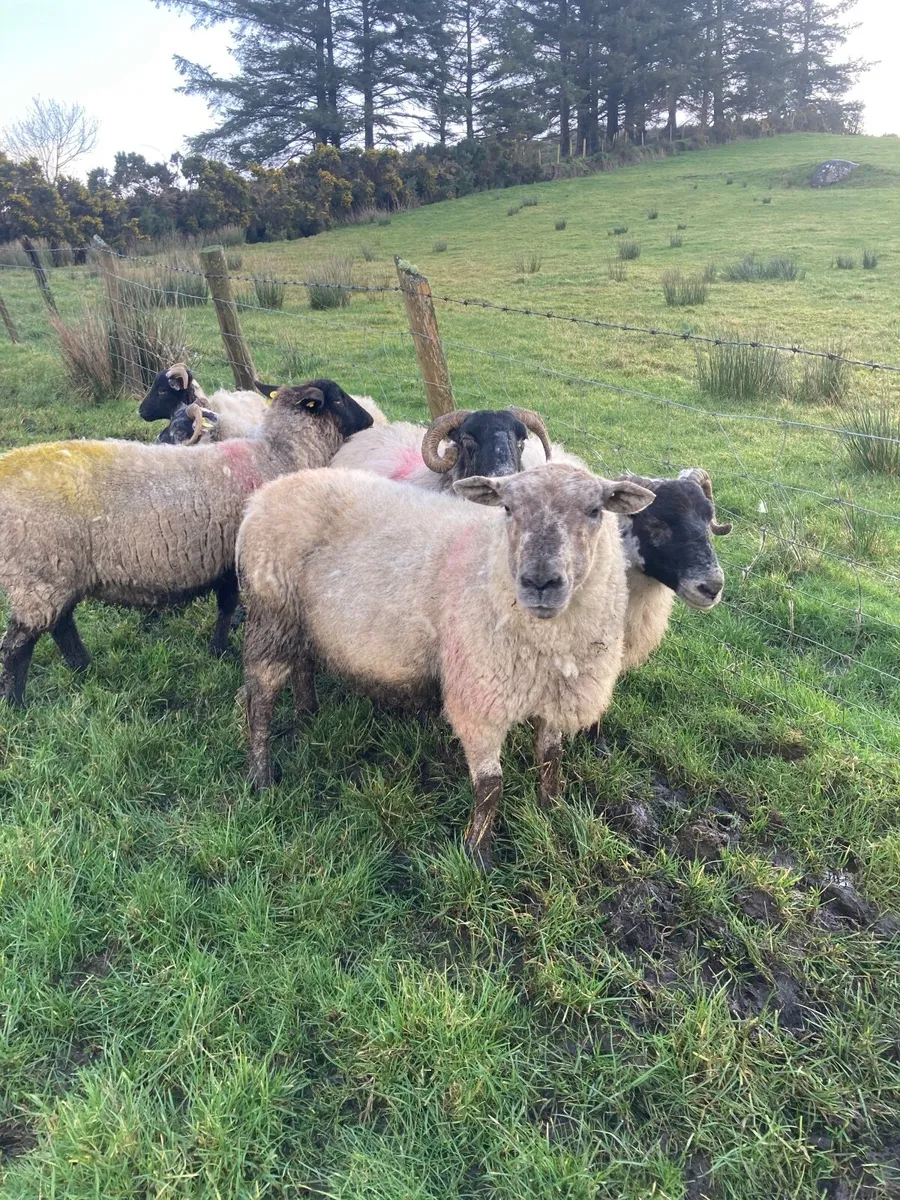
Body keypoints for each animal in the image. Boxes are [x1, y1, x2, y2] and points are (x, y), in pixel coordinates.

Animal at [0, 381, 373, 706]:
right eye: (339, 398)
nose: (369, 420)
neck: (277, 455)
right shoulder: (236, 558)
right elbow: (229, 606)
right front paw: (223, 650)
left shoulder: (224, 559)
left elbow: (225, 606)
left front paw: (218, 649)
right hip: (38, 575)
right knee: (17, 645)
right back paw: (17, 702)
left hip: (58, 574)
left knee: (61, 625)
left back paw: (82, 667)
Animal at [237, 462, 655, 870]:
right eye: (507, 508)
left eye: (595, 510)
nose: (540, 582)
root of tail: (264, 495)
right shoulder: (479, 697)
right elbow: (490, 787)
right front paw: (478, 856)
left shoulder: (554, 694)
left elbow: (551, 758)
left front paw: (551, 811)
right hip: (272, 613)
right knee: (259, 698)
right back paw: (261, 778)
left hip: (302, 623)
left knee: (302, 664)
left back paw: (307, 712)